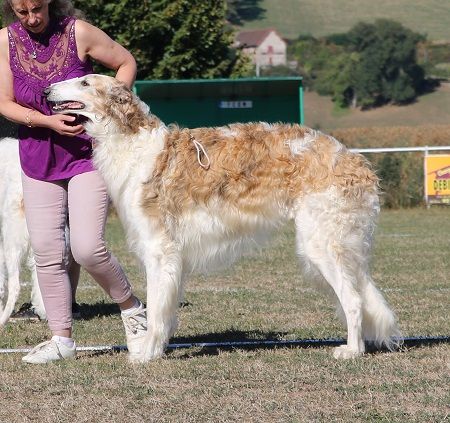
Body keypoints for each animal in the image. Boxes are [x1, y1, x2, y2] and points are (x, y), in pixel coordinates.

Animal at [44, 74, 400, 362]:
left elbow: (157, 310)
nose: (46, 90)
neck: (133, 141)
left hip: (321, 245)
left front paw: (145, 353)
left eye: (85, 82)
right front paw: (158, 349)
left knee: (353, 300)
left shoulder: (160, 250)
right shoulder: (174, 259)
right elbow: (167, 311)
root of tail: (355, 159)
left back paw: (352, 350)